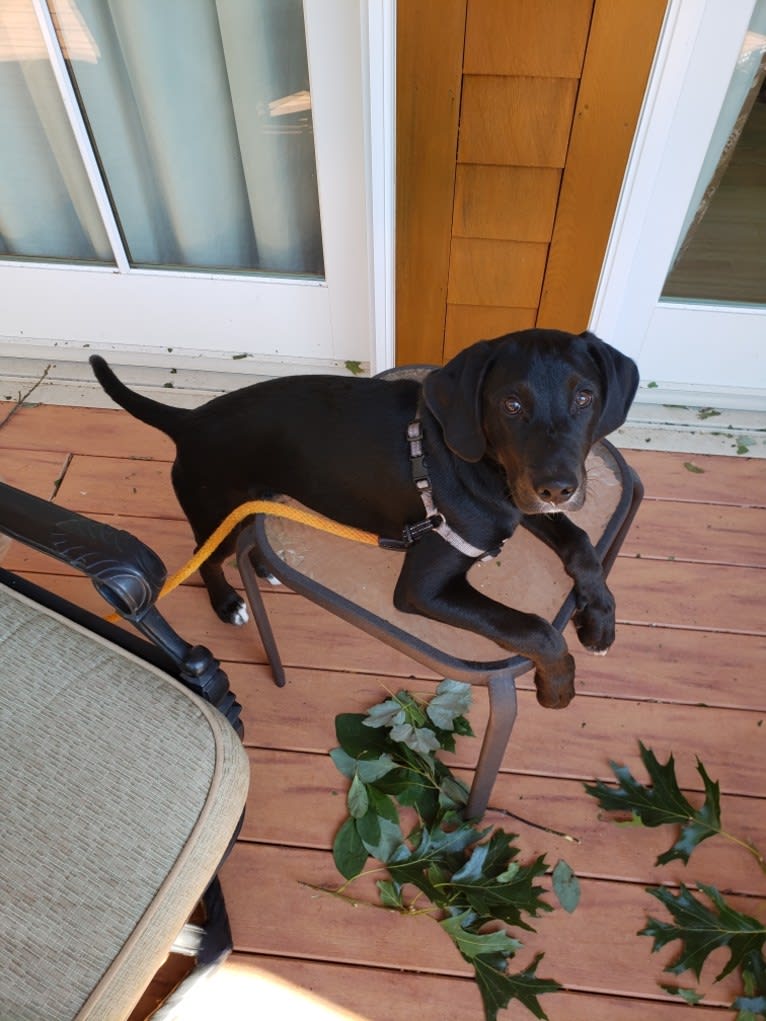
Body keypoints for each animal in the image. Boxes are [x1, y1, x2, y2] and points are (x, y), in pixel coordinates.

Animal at [89, 328, 637, 710]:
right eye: (511, 403)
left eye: (584, 397)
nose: (558, 487)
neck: (477, 463)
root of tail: (189, 419)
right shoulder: (422, 586)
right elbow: (531, 626)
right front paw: (558, 683)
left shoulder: (523, 505)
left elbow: (580, 542)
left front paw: (600, 616)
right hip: (216, 512)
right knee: (206, 558)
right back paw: (227, 603)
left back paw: (265, 569)